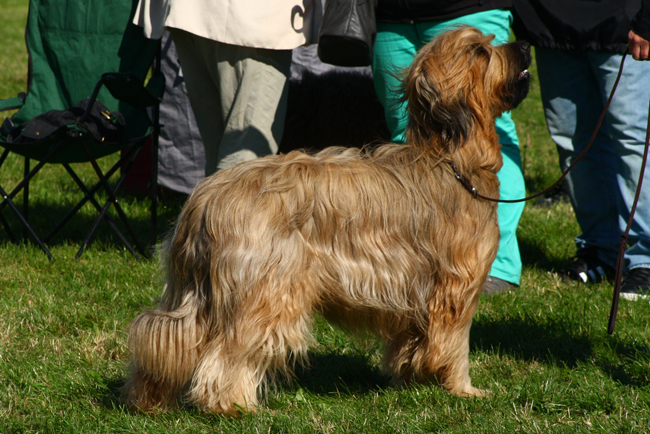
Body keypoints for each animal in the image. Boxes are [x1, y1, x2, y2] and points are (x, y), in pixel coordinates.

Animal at [124, 26, 528, 414]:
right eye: (481, 51)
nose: (524, 46)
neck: (451, 159)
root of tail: (205, 198)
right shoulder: (456, 286)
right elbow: (455, 344)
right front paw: (464, 389)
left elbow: (411, 345)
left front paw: (410, 380)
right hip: (265, 292)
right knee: (228, 353)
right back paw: (233, 405)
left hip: (194, 292)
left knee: (164, 339)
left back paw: (148, 399)